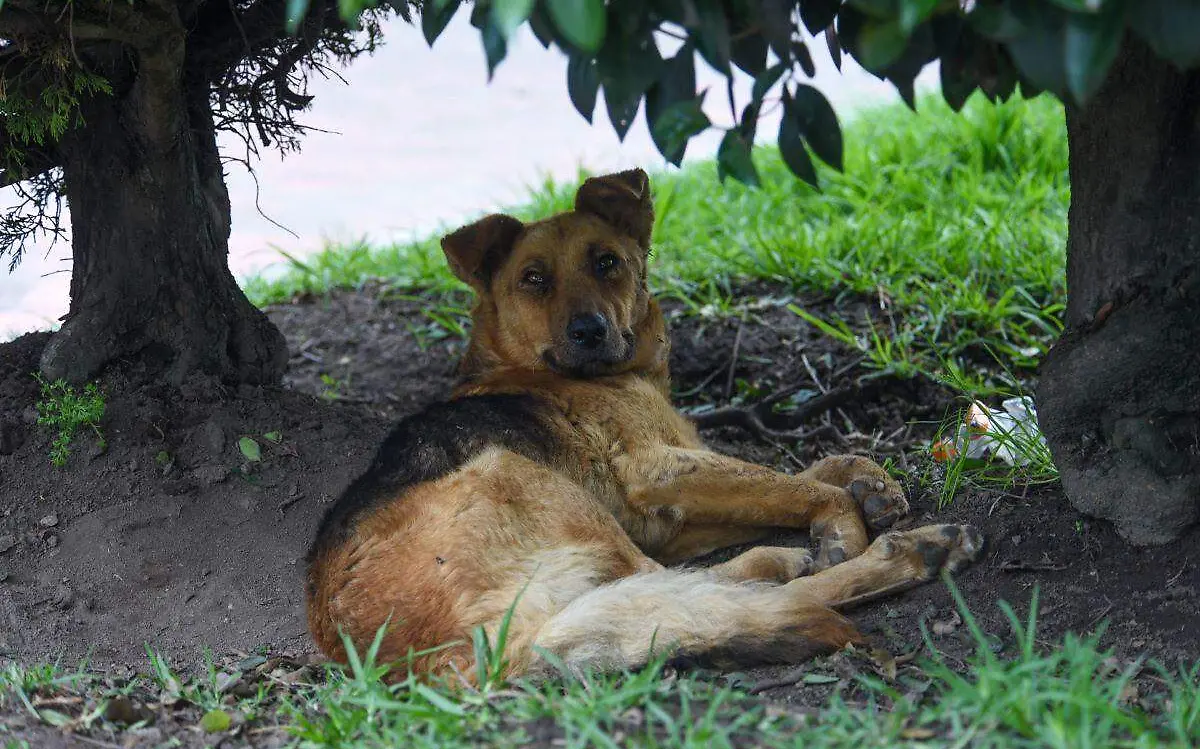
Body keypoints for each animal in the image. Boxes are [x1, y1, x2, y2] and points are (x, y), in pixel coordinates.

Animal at [302, 168, 984, 676]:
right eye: (533, 279)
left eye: (607, 262)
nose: (588, 331)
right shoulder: (654, 471)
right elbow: (799, 484)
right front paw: (844, 523)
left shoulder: (672, 511)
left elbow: (805, 470)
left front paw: (872, 481)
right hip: (519, 475)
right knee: (703, 594)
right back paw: (900, 554)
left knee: (682, 593)